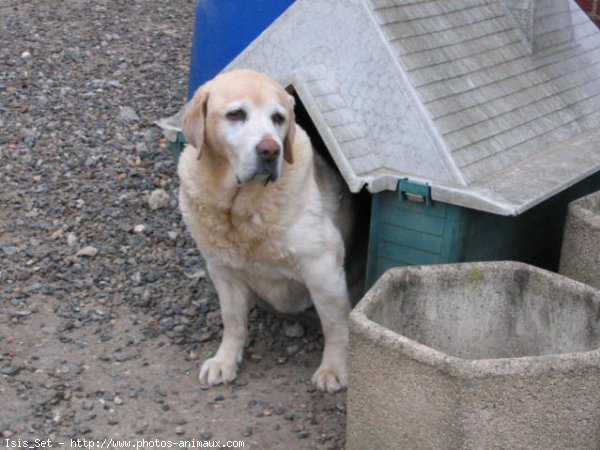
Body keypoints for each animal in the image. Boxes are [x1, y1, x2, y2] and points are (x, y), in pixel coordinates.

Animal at [178, 68, 356, 392]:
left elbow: (335, 326)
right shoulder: (223, 271)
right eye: (235, 114)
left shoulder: (323, 268)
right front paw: (225, 360)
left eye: (278, 118)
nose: (270, 150)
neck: (239, 208)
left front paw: (334, 368)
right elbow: (233, 321)